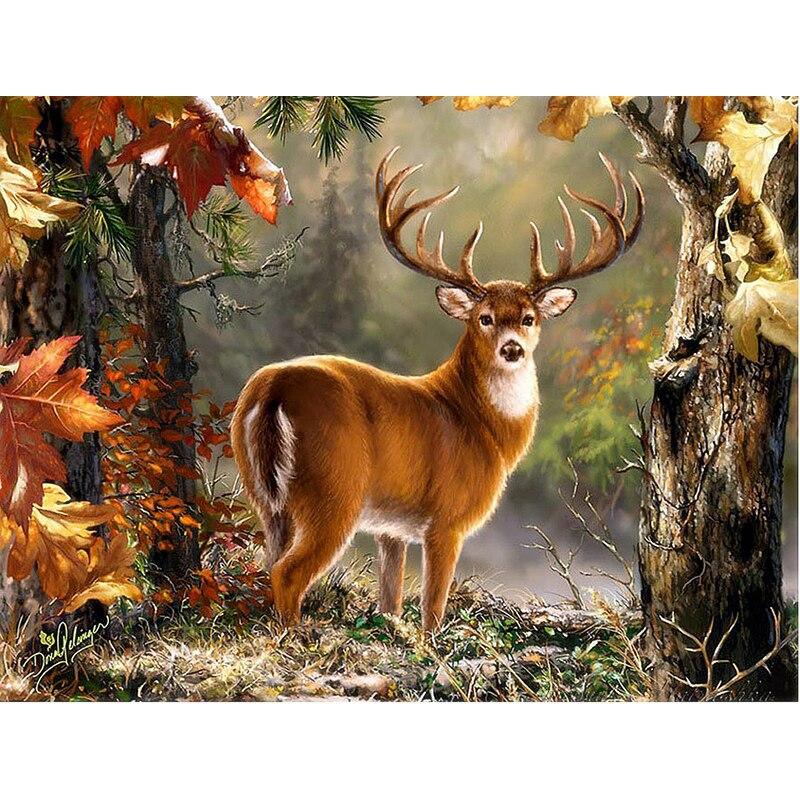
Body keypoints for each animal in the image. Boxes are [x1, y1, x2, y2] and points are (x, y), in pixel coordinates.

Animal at [230, 147, 644, 631]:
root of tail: (273, 388)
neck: (484, 428)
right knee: (287, 572)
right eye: (484, 317)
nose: (512, 349)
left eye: (529, 317)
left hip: (264, 495)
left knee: (268, 562)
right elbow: (432, 608)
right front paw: (431, 644)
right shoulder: (448, 518)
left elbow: (390, 601)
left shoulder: (391, 528)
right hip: (333, 490)